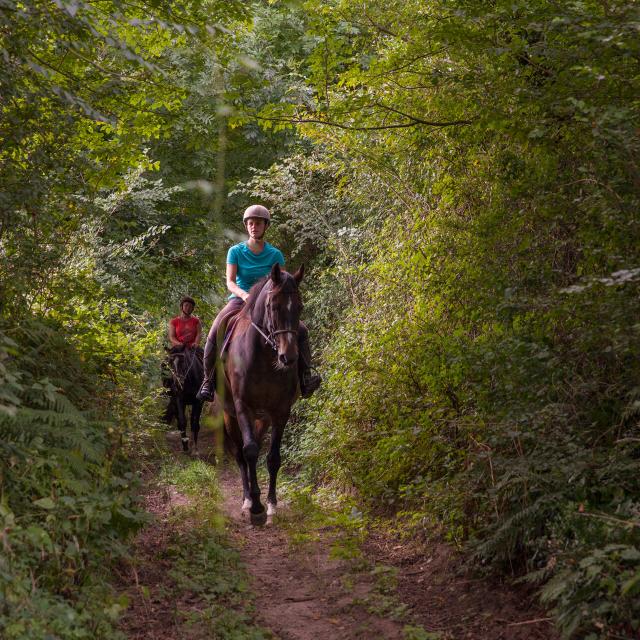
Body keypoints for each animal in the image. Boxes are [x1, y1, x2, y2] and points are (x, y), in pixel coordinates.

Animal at [222, 264, 302, 524]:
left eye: (300, 307)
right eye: (273, 306)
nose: (288, 357)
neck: (265, 358)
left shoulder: (280, 410)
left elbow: (273, 457)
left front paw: (271, 505)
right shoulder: (242, 406)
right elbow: (249, 451)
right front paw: (255, 507)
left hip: (263, 418)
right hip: (230, 415)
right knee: (240, 454)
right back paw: (247, 499)